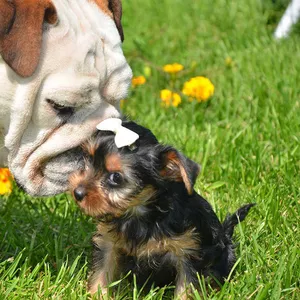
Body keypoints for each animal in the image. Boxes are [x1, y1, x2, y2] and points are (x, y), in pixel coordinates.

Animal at [69, 119, 254, 298]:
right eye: (88, 159)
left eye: (115, 177)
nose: (77, 192)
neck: (139, 213)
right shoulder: (108, 243)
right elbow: (102, 272)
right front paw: (97, 294)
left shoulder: (188, 251)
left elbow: (186, 287)